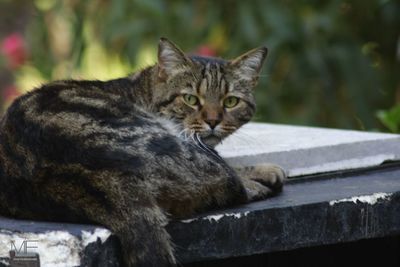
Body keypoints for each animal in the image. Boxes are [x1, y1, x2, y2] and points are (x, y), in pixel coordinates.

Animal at [0, 38, 286, 267]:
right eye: (191, 99)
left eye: (231, 102)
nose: (213, 121)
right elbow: (232, 168)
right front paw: (262, 171)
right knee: (230, 185)